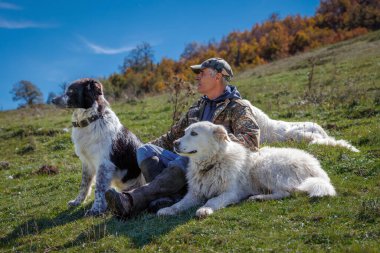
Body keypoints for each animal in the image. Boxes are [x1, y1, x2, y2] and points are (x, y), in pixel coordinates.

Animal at [52, 77, 144, 215]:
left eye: (71, 91)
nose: (52, 100)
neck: (91, 120)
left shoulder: (104, 163)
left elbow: (99, 188)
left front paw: (96, 209)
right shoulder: (87, 163)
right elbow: (84, 184)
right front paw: (77, 201)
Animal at [157, 121, 336, 218]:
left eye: (194, 133)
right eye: (184, 132)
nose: (175, 143)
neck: (211, 164)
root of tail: (317, 169)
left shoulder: (231, 192)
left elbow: (213, 200)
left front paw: (205, 209)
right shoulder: (194, 194)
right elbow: (179, 204)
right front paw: (167, 210)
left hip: (265, 167)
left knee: (288, 192)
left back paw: (258, 197)